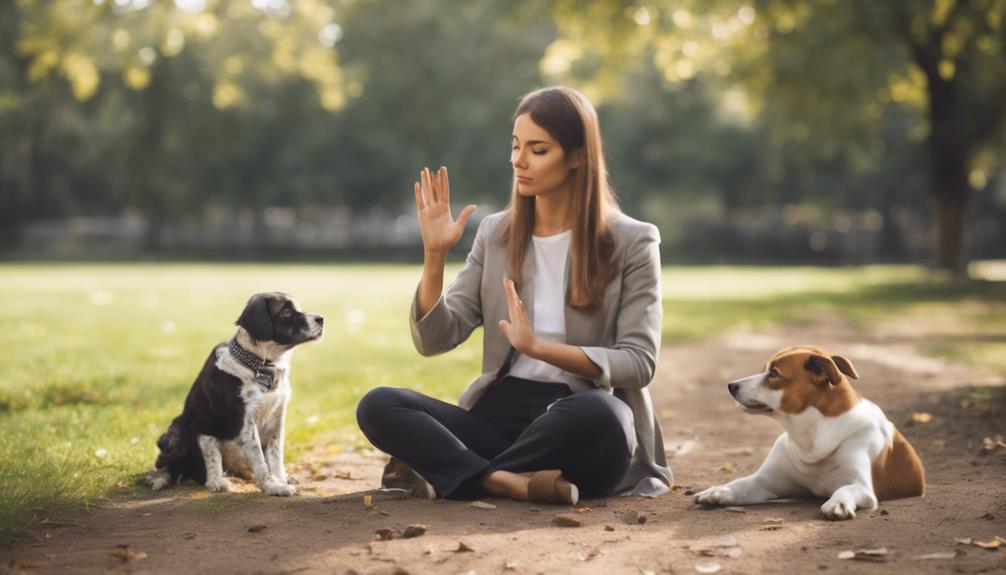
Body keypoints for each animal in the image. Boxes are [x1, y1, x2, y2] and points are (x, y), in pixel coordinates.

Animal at [145, 291, 323, 494]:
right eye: (286, 312)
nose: (321, 319)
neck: (260, 366)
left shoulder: (277, 418)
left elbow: (275, 456)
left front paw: (281, 480)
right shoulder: (245, 423)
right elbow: (260, 461)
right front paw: (272, 486)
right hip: (178, 432)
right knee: (185, 466)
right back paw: (216, 482)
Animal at [696, 345, 921, 522]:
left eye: (774, 373)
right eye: (764, 370)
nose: (731, 386)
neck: (811, 438)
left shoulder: (861, 487)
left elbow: (845, 489)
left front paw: (838, 503)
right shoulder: (764, 482)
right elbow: (740, 483)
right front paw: (719, 490)